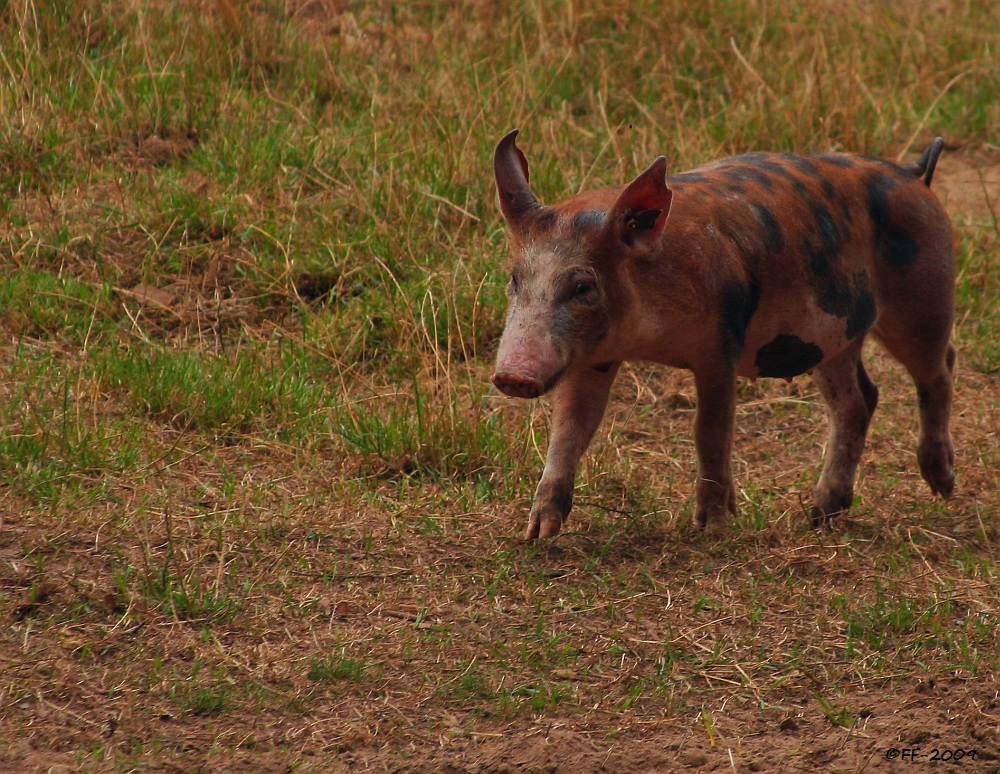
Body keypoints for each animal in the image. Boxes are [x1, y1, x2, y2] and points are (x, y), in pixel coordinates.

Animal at [490, 129, 952, 540]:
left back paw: (942, 486)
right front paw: (536, 534)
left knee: (938, 371)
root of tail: (913, 173)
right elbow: (569, 430)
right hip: (834, 339)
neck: (648, 339)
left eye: (583, 286)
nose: (511, 376)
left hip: (923, 296)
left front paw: (709, 528)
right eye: (514, 280)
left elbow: (710, 431)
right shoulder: (592, 358)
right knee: (858, 399)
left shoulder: (720, 344)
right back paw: (819, 516)